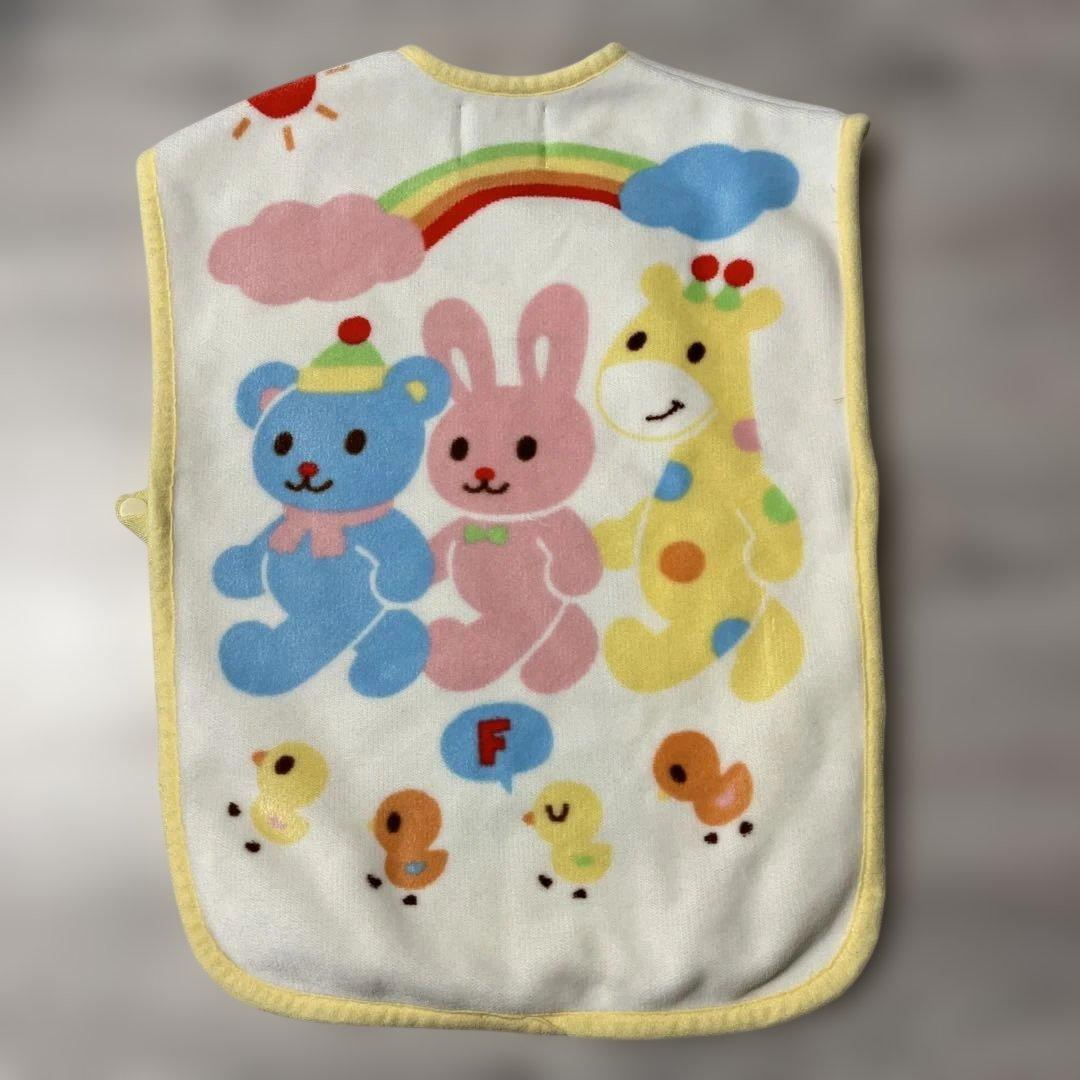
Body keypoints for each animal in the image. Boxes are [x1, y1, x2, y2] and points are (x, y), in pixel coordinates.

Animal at [593, 256, 804, 700]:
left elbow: (772, 516)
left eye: (697, 351)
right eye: (635, 339)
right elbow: (635, 517)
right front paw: (611, 540)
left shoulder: (746, 486)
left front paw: (770, 561)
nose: (640, 394)